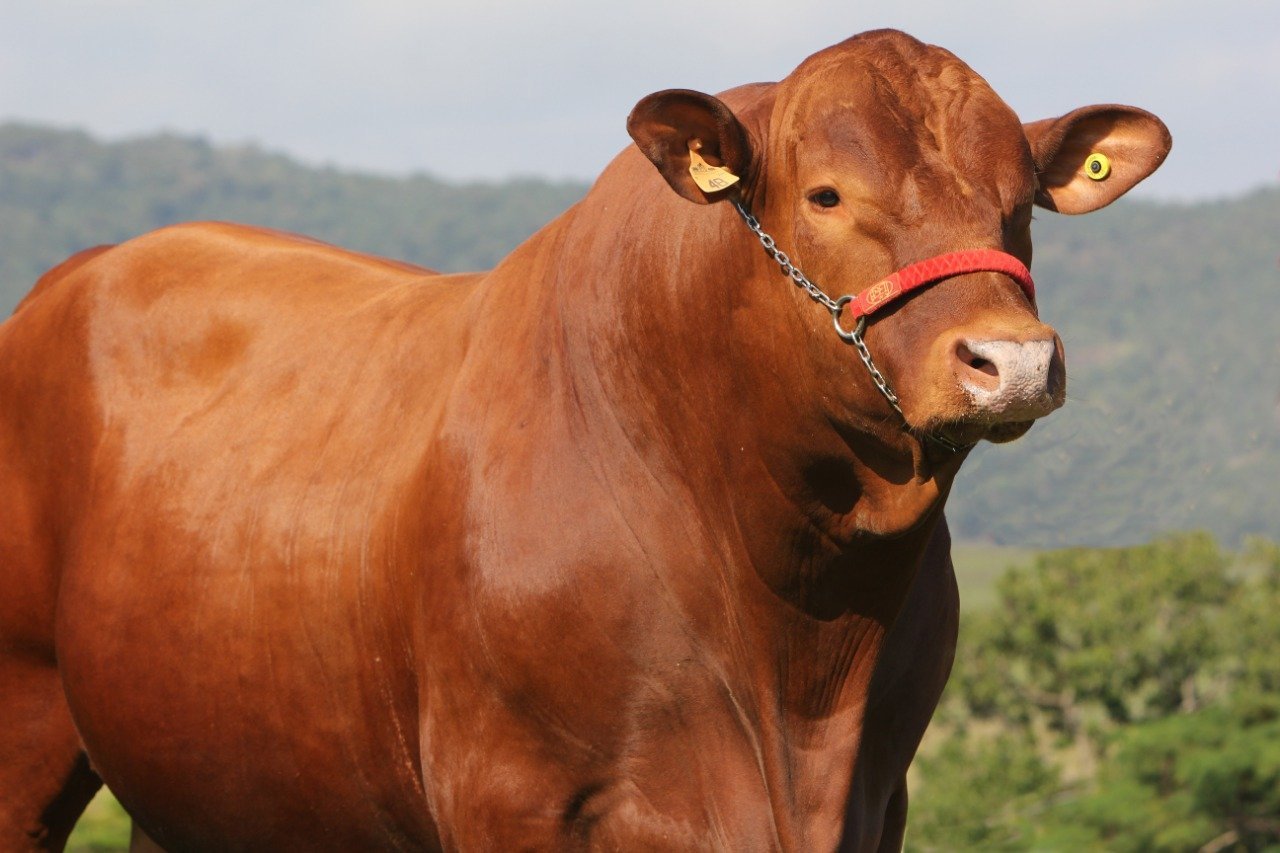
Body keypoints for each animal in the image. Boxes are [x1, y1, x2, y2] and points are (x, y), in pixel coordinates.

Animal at [0, 29, 1172, 850]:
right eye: (827, 193)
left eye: (1021, 204)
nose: (1010, 360)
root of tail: (82, 270)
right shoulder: (509, 796)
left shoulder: (875, 798)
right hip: (27, 718)